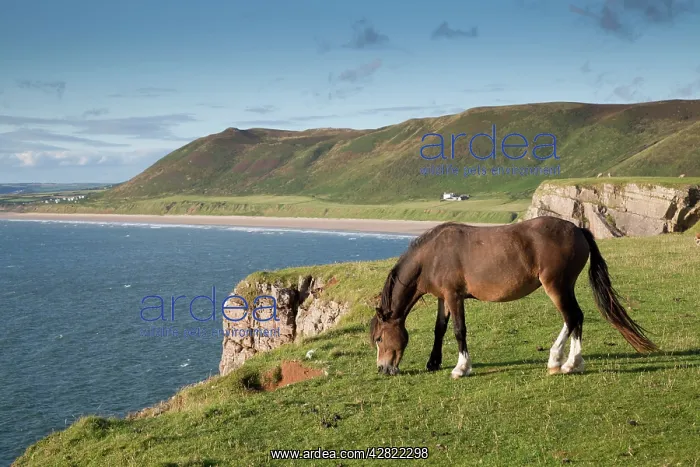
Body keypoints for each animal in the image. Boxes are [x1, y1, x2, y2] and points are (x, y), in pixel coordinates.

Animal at [369, 216, 657, 378]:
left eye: (380, 339)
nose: (383, 369)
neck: (433, 255)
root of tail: (577, 229)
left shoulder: (454, 296)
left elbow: (459, 331)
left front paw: (461, 368)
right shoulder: (444, 297)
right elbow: (439, 329)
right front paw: (433, 363)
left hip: (556, 285)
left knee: (572, 316)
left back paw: (564, 363)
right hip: (565, 287)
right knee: (575, 317)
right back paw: (565, 360)